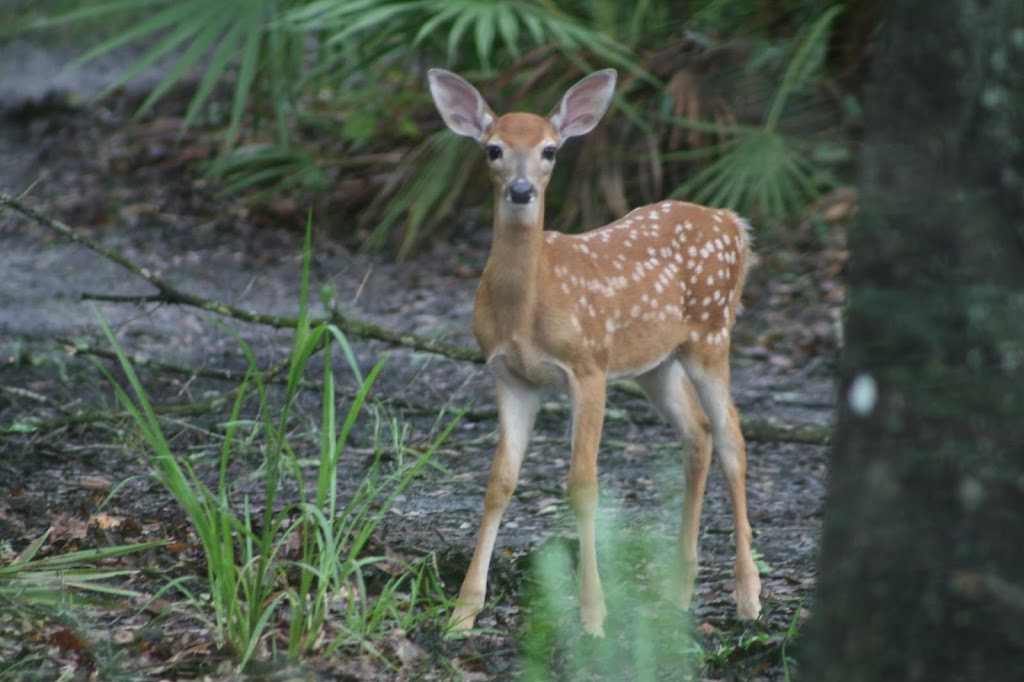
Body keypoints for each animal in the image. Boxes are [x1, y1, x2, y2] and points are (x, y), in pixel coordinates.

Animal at [425, 66, 761, 634]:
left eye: (549, 149)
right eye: (493, 149)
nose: (521, 190)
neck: (527, 308)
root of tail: (733, 221)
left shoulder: (589, 365)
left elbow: (583, 486)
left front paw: (593, 615)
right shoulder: (510, 376)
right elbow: (499, 481)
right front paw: (463, 613)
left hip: (712, 335)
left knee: (733, 440)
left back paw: (748, 596)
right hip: (656, 364)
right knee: (697, 433)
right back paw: (678, 593)